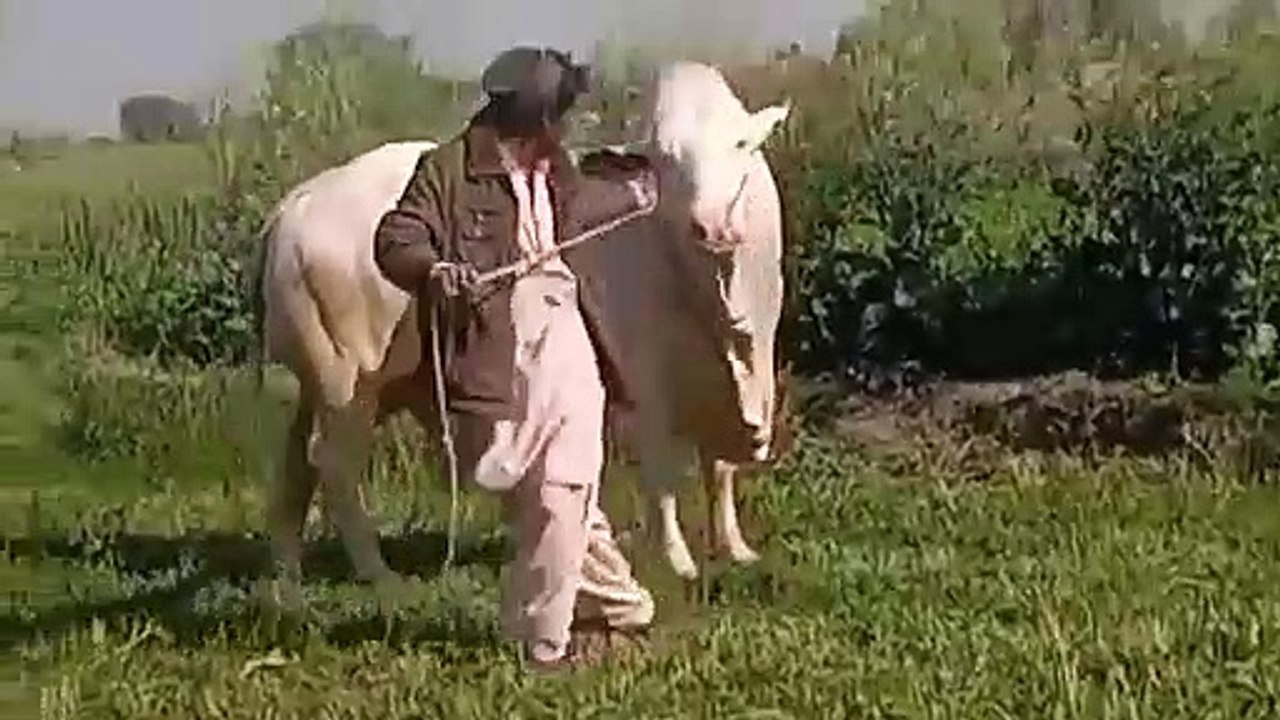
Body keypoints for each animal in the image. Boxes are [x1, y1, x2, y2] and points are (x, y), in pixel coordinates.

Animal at [255, 60, 790, 590]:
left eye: (740, 145)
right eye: (662, 160)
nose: (712, 225)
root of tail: (294, 204)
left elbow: (721, 469)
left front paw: (735, 548)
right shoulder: (648, 379)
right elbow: (661, 473)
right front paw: (677, 560)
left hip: (322, 385)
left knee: (296, 461)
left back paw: (286, 571)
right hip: (348, 381)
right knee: (336, 465)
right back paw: (377, 572)